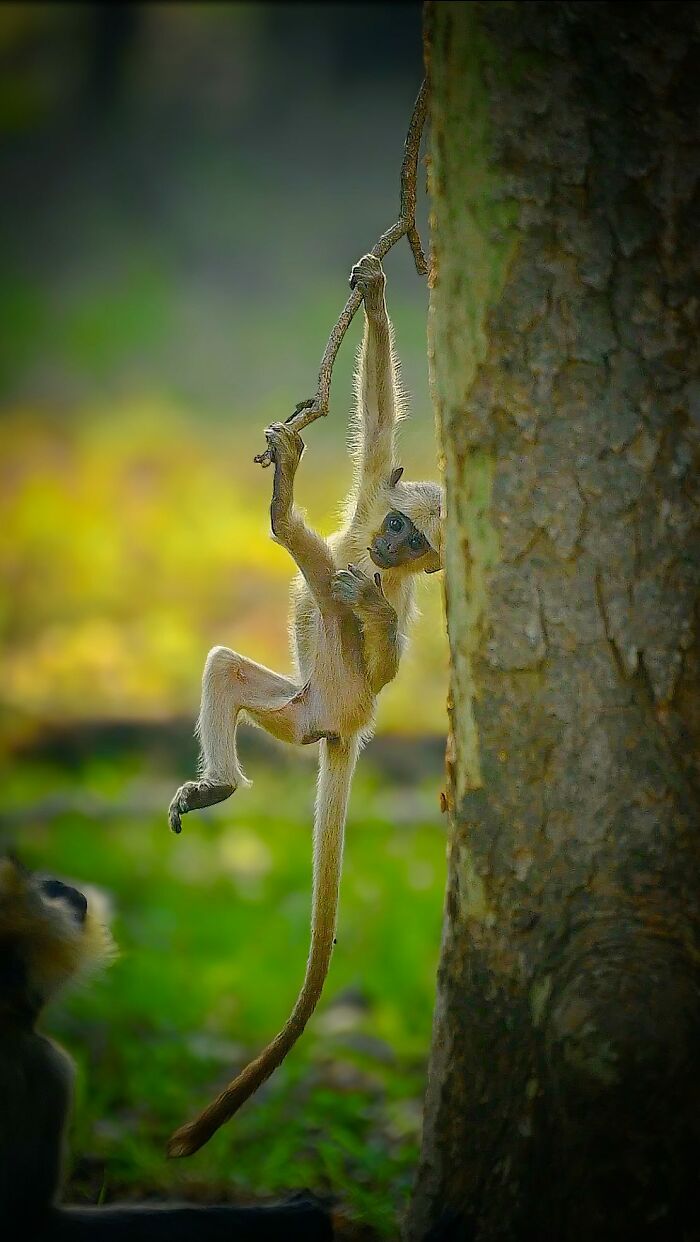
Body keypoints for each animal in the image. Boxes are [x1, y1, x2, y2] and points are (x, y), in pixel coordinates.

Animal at [167, 249, 441, 1152]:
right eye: (397, 523)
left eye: (417, 542)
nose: (390, 545)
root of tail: (343, 726)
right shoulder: (373, 490)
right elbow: (381, 423)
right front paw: (378, 293)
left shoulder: (402, 592)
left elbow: (389, 642)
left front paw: (370, 606)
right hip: (294, 708)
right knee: (228, 666)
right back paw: (221, 782)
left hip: (340, 693)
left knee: (323, 579)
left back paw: (289, 515)